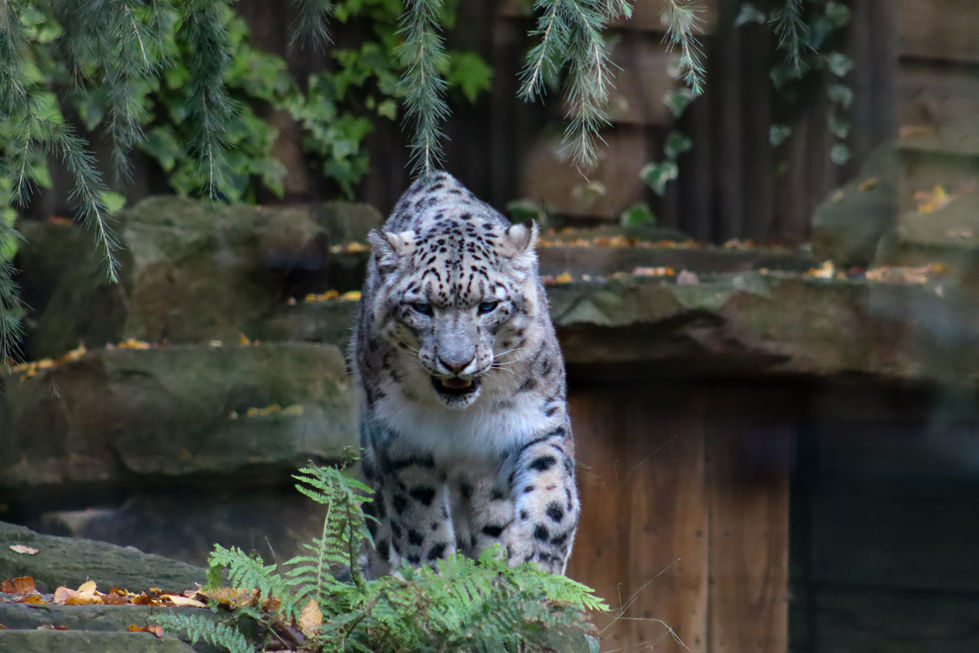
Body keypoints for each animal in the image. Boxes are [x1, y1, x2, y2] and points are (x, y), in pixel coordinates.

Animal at [350, 171, 579, 577]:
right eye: (422, 307)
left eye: (487, 305)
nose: (456, 362)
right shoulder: (402, 438)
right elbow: (418, 517)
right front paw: (432, 574)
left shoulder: (535, 421)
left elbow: (552, 491)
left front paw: (535, 558)